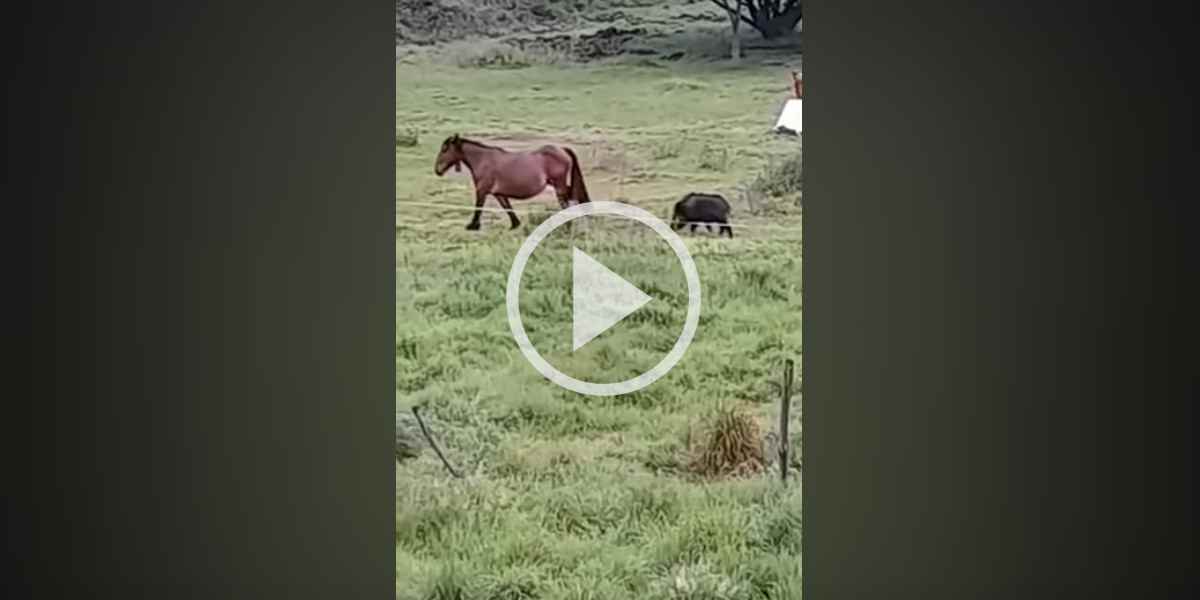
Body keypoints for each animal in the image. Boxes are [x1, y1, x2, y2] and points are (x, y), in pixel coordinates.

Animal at [439, 134, 592, 229]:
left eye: (444, 149)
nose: (437, 170)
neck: (483, 160)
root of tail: (562, 149)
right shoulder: (498, 193)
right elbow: (507, 207)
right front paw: (515, 225)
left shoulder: (482, 191)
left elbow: (479, 207)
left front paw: (473, 226)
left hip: (558, 184)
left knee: (567, 201)